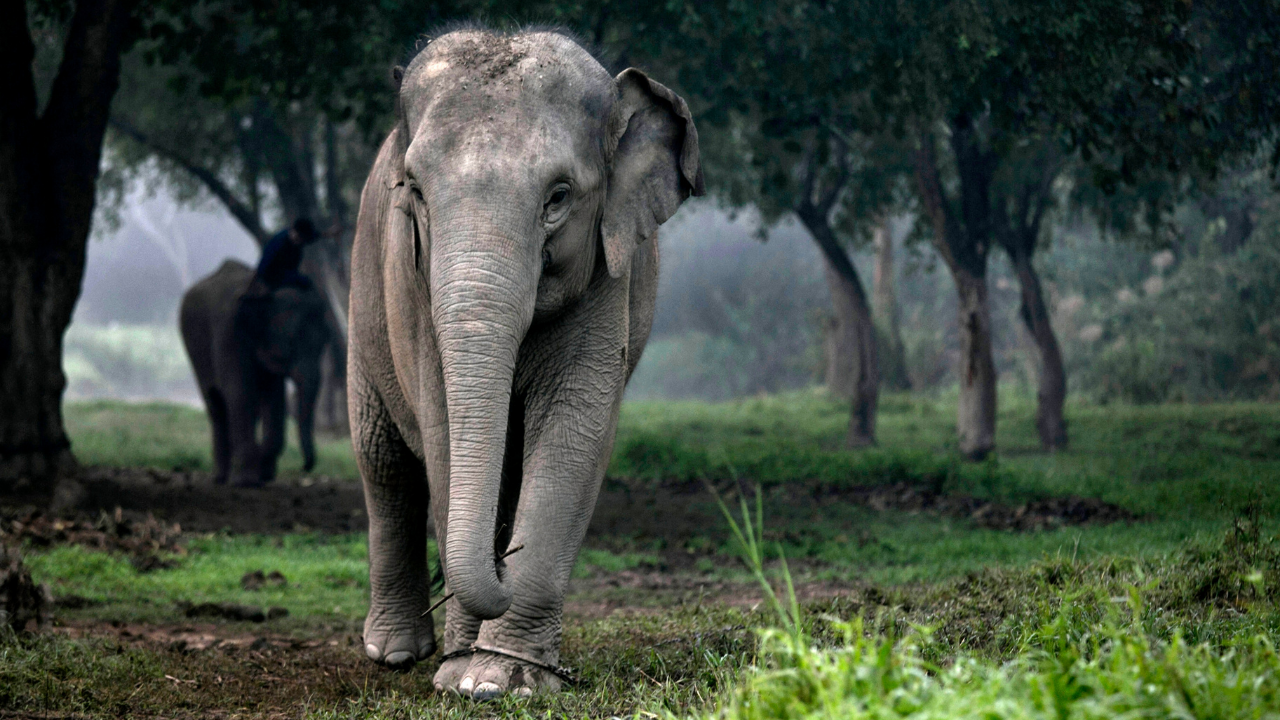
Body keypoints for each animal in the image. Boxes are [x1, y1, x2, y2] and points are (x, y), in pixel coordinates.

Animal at [180, 260, 331, 488]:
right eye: (290, 343)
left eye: (325, 342)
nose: (305, 467)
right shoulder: (229, 332)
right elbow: (239, 392)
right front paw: (246, 482)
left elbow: (274, 397)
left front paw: (264, 474)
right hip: (194, 349)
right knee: (216, 403)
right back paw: (221, 478)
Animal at [347, 28, 703, 698]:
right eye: (415, 192)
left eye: (559, 197)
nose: (500, 567)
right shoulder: (410, 281)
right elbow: (442, 434)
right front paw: (456, 674)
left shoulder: (607, 272)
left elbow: (573, 430)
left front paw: (499, 678)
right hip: (361, 304)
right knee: (383, 461)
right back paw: (396, 653)